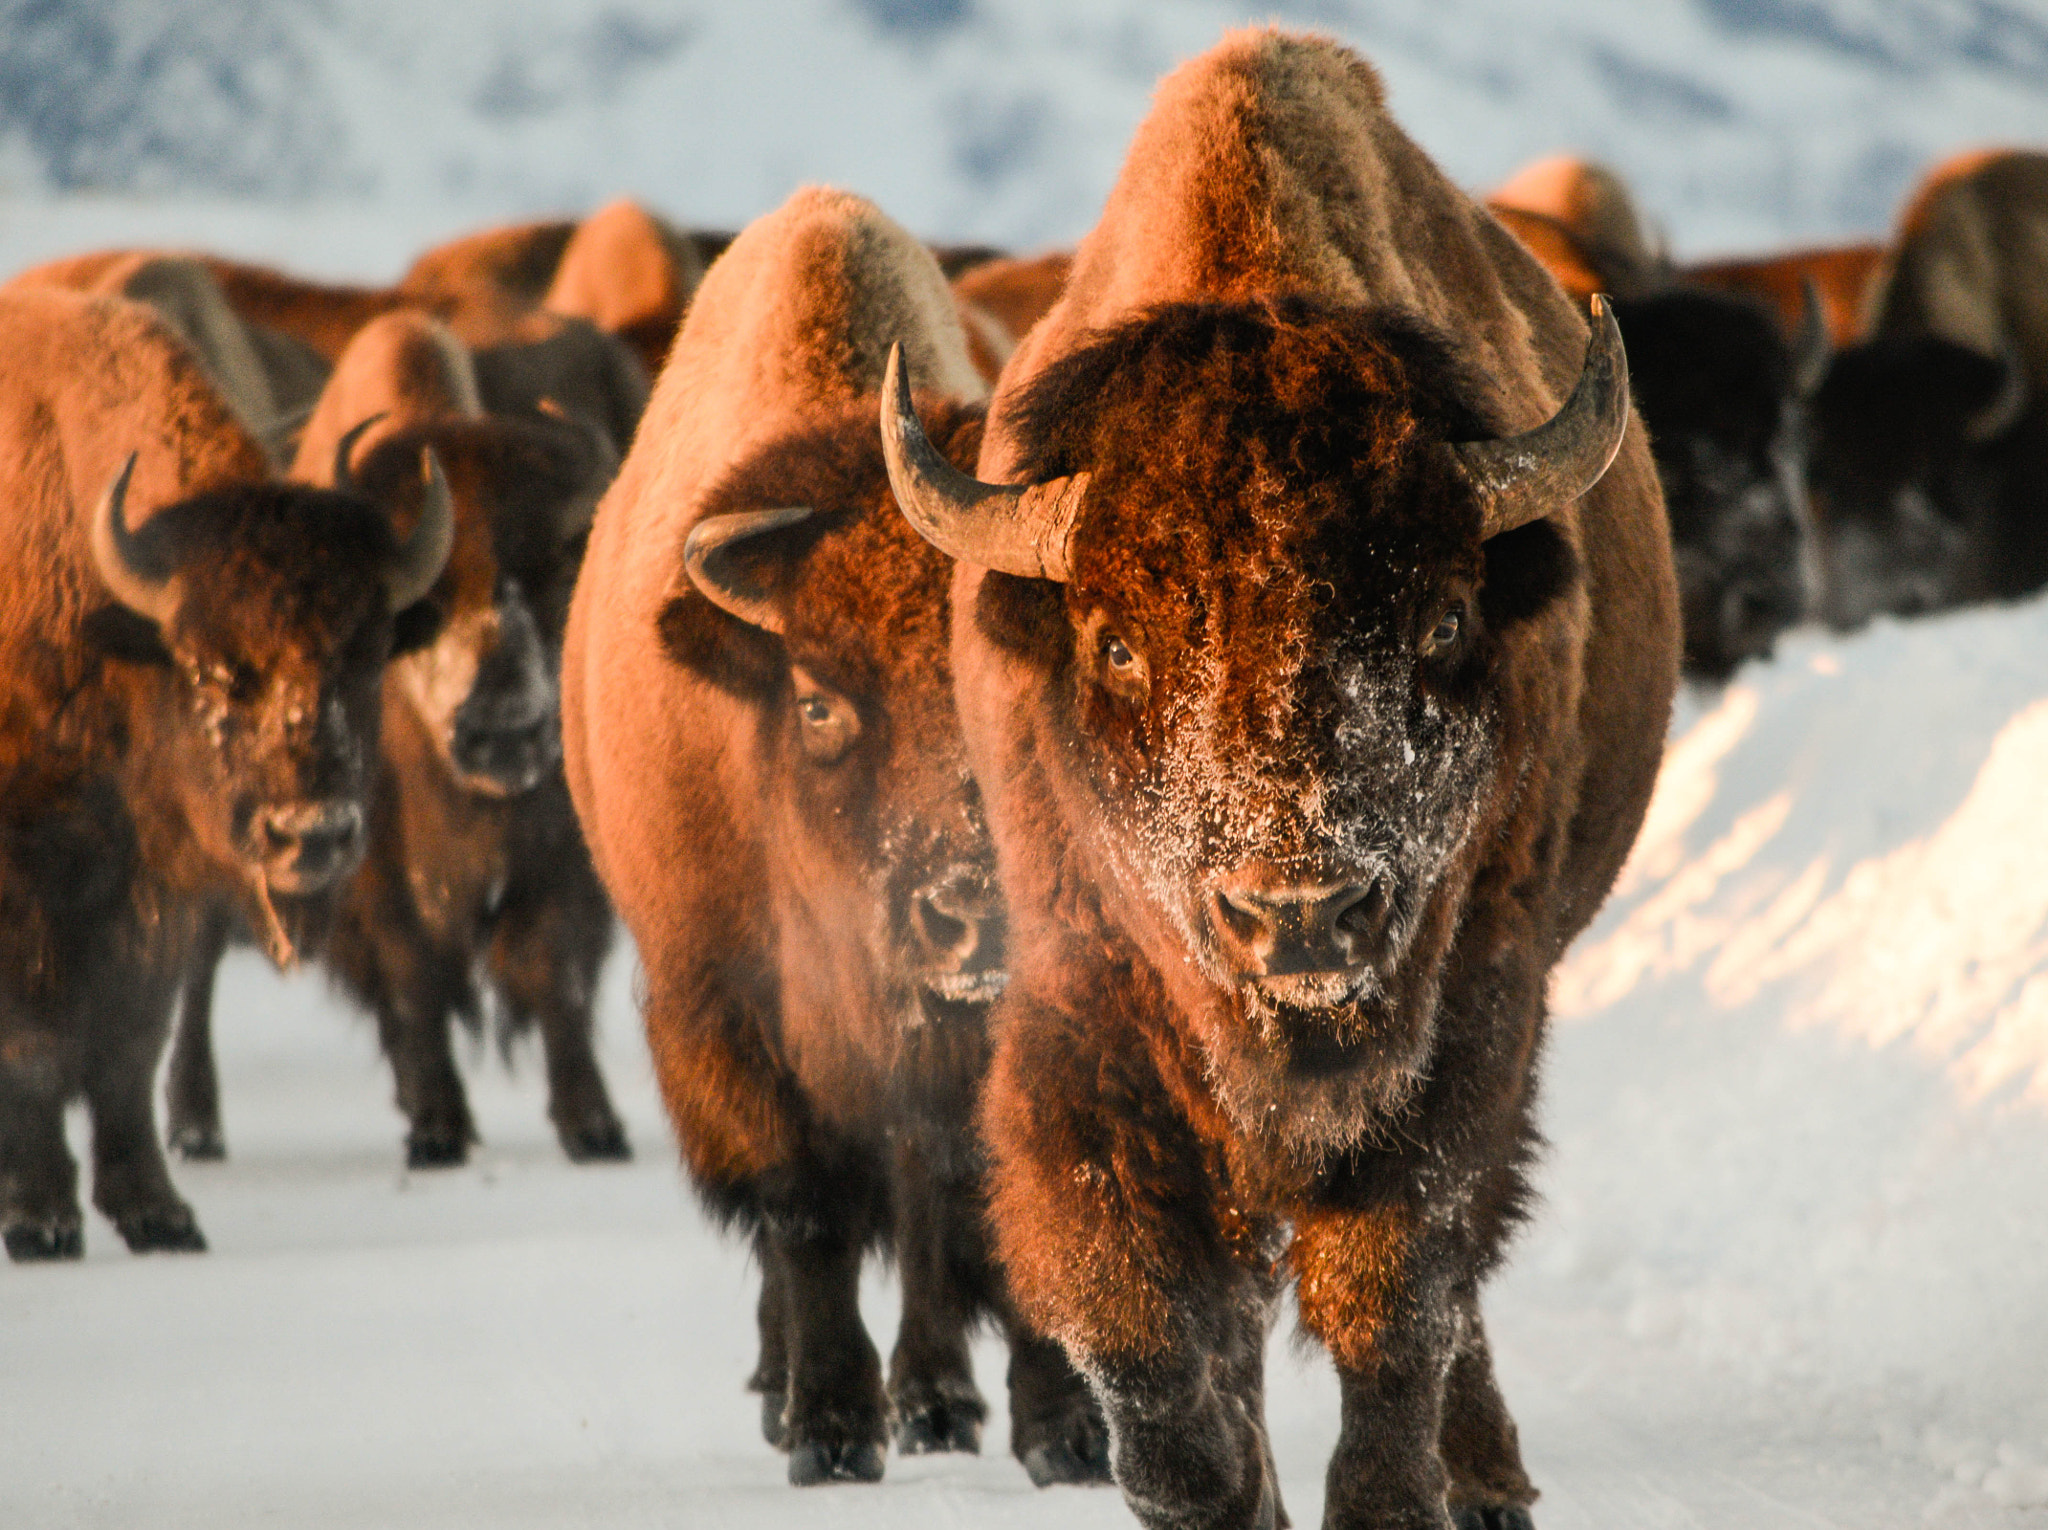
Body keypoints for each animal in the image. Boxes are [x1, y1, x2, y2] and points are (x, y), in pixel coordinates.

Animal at [883, 31, 1676, 1530]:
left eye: (1440, 620)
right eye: (1116, 640)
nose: (1300, 915)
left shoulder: (1466, 1022)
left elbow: (1399, 1297)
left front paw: (1395, 1492)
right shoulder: (1085, 1023)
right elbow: (1143, 1325)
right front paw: (1219, 1482)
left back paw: (1487, 1478)